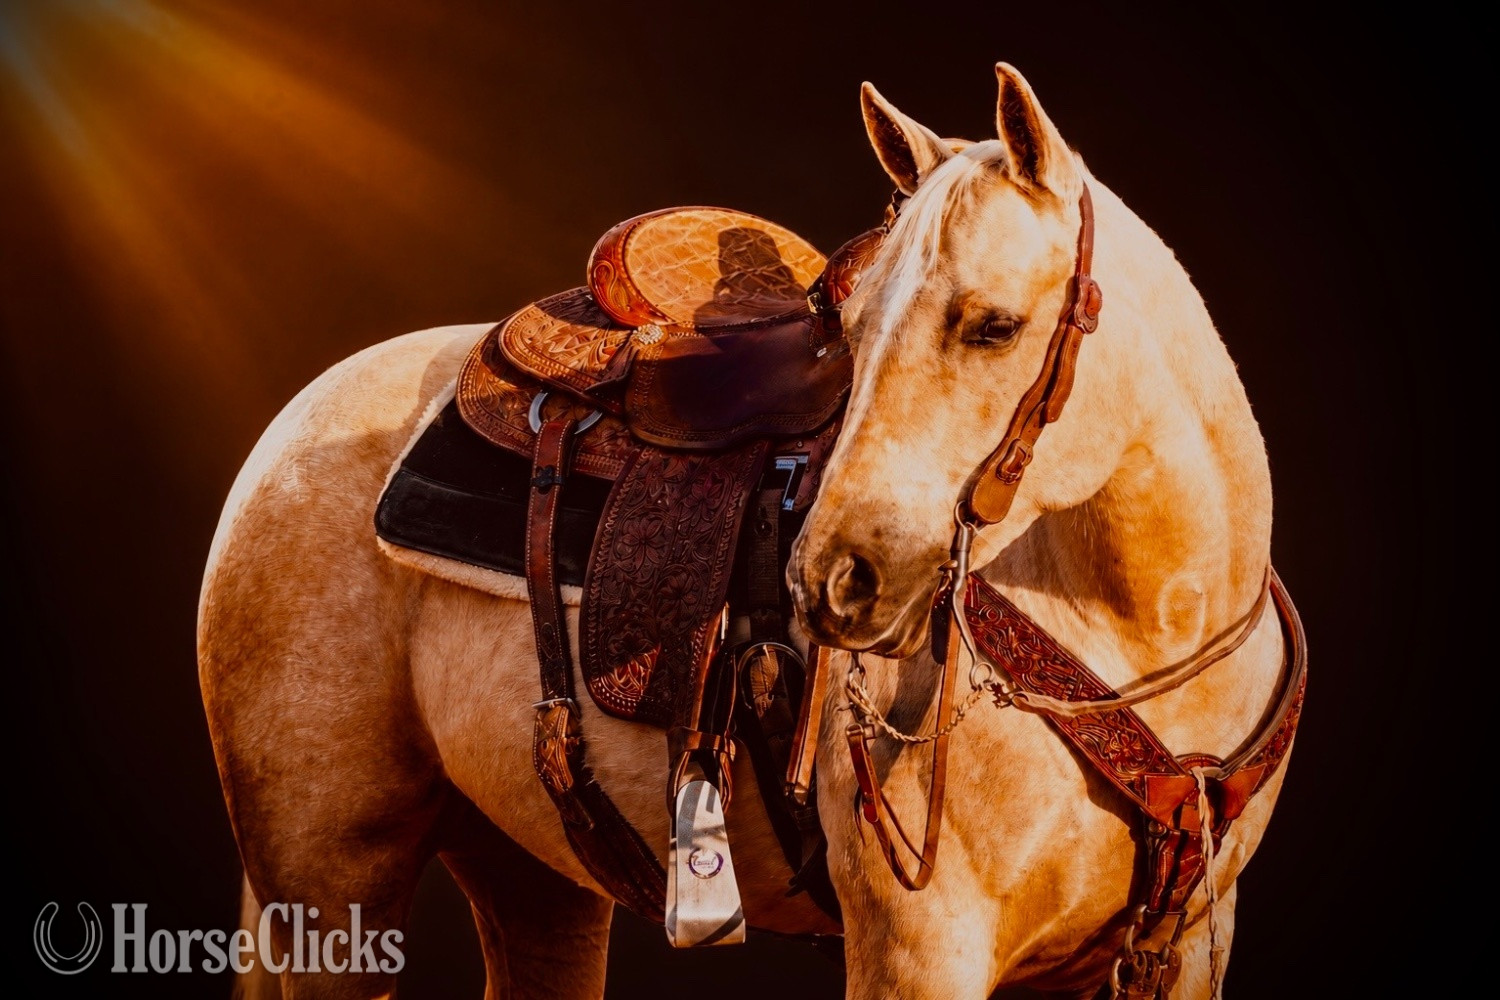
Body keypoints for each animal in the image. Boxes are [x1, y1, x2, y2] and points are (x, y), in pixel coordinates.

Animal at [198, 63, 1297, 999]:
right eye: (848, 334)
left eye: (994, 325)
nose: (839, 577)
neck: (1148, 632)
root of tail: (296, 422)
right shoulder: (918, 946)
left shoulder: (1186, 953)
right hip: (330, 883)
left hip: (531, 875)